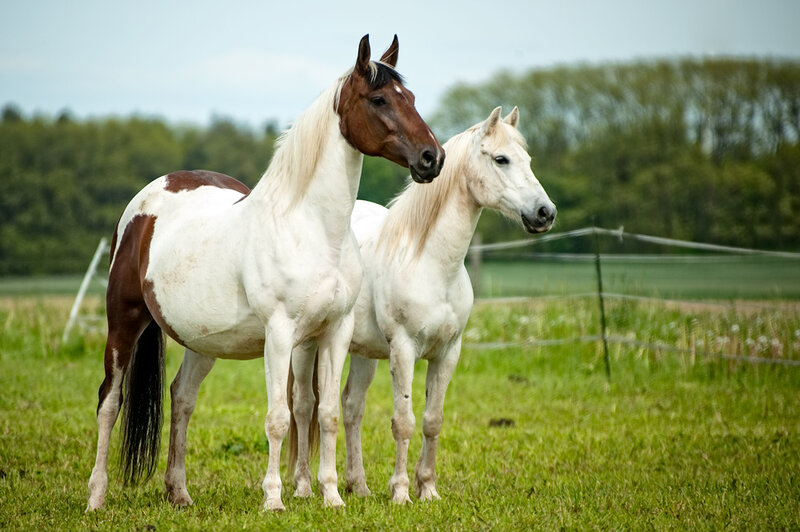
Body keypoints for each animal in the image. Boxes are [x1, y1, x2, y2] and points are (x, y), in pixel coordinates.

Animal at [85, 34, 445, 513]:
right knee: (110, 401)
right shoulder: (280, 333)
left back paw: (179, 493)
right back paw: (96, 496)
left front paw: (333, 496)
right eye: (379, 99)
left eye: (413, 98)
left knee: (182, 398)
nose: (432, 158)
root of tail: (142, 208)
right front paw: (274, 499)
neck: (313, 229)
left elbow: (327, 414)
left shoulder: (336, 332)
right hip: (123, 323)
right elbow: (278, 417)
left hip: (203, 341)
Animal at [289, 106, 555, 505]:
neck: (431, 264)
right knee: (304, 406)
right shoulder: (403, 350)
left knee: (351, 407)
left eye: (528, 160)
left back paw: (359, 486)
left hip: (364, 352)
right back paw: (305, 486)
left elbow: (432, 420)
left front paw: (427, 488)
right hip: (308, 346)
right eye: (501, 159)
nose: (545, 213)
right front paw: (401, 492)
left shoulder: (447, 353)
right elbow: (404, 421)